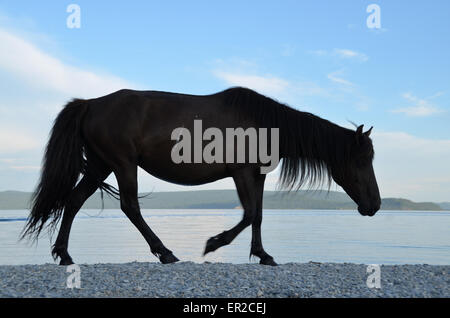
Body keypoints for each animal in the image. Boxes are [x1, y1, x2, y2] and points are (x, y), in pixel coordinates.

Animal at [21, 87, 380, 266]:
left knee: (73, 201)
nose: (375, 205)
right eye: (363, 159)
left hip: (100, 165)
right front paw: (214, 243)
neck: (263, 123)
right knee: (130, 207)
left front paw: (263, 255)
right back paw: (165, 252)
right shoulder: (241, 173)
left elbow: (258, 216)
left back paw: (65, 255)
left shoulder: (257, 177)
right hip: (122, 163)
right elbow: (248, 214)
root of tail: (90, 103)